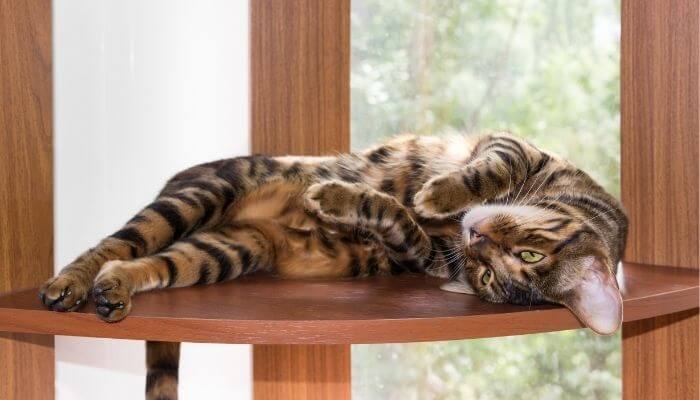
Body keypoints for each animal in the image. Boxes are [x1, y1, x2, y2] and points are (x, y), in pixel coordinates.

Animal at [38, 132, 628, 400]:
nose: (475, 237)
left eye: (491, 276)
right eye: (529, 253)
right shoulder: (517, 147)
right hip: (202, 194)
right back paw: (67, 284)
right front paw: (438, 192)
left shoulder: (418, 255)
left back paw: (113, 289)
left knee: (147, 261)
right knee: (114, 243)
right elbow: (483, 170)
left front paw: (340, 198)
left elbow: (392, 215)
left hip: (224, 252)